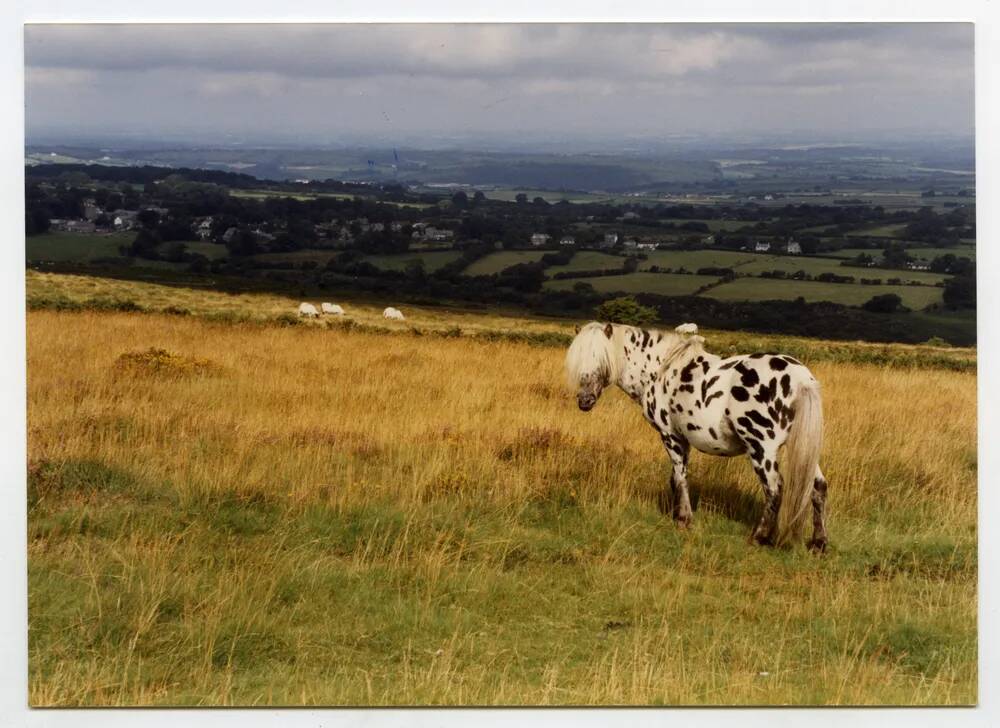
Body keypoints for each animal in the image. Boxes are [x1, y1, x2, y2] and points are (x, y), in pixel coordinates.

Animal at [564, 322, 828, 548]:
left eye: (602, 359)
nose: (584, 401)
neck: (660, 369)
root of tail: (800, 378)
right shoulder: (682, 439)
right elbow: (674, 478)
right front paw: (676, 515)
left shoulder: (670, 435)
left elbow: (680, 478)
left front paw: (683, 520)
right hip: (803, 449)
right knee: (818, 488)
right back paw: (819, 543)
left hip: (762, 449)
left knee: (774, 489)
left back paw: (759, 537)